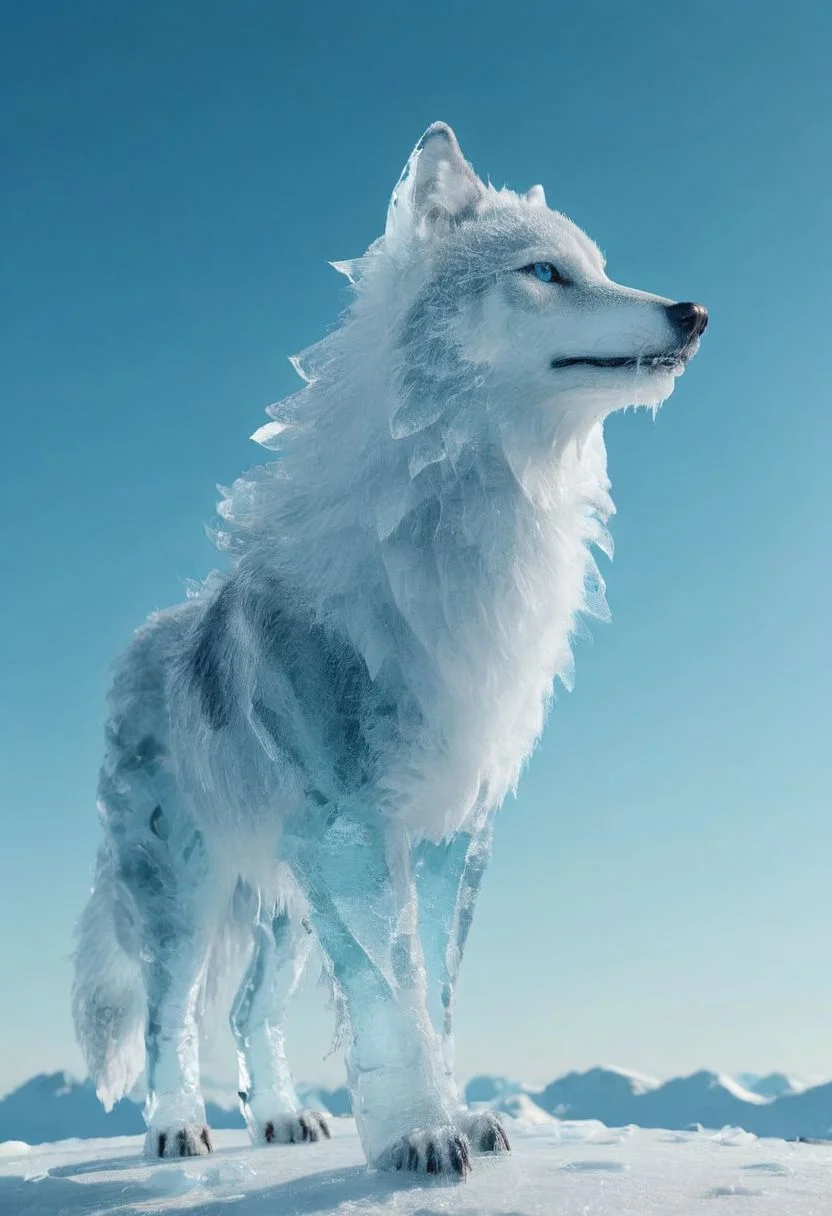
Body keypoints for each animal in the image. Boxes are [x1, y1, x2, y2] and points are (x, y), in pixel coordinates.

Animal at [72, 122, 706, 1177]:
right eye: (548, 272)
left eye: (599, 267)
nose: (692, 312)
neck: (464, 532)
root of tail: (152, 633)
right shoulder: (351, 825)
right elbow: (390, 993)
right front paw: (417, 1135)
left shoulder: (454, 826)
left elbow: (434, 996)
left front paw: (458, 1120)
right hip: (187, 894)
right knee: (172, 1017)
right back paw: (175, 1129)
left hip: (284, 906)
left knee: (246, 1014)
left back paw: (283, 1120)